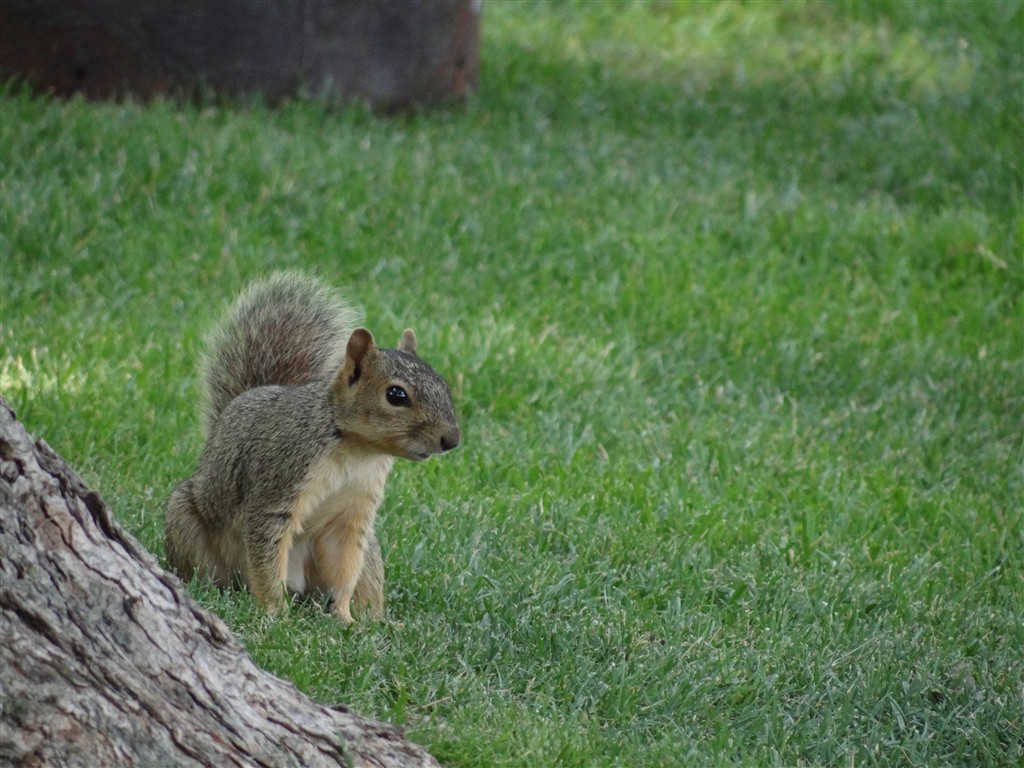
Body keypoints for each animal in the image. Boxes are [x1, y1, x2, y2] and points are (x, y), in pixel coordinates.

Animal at [165, 271, 460, 623]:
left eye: (442, 383)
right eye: (396, 395)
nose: (452, 440)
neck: (357, 451)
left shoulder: (353, 510)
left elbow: (343, 563)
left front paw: (344, 617)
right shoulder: (281, 478)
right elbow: (267, 551)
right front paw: (274, 612)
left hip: (369, 553)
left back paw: (377, 621)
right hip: (186, 522)